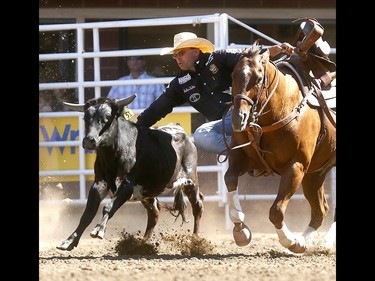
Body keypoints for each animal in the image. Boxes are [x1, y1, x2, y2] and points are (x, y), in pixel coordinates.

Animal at [223, 40, 338, 253]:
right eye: (233, 75)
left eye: (258, 78)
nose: (238, 118)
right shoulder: (244, 158)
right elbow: (229, 178)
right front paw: (240, 230)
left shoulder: (296, 167)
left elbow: (276, 211)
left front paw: (291, 241)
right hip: (316, 174)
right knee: (320, 211)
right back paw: (310, 241)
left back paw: (323, 242)